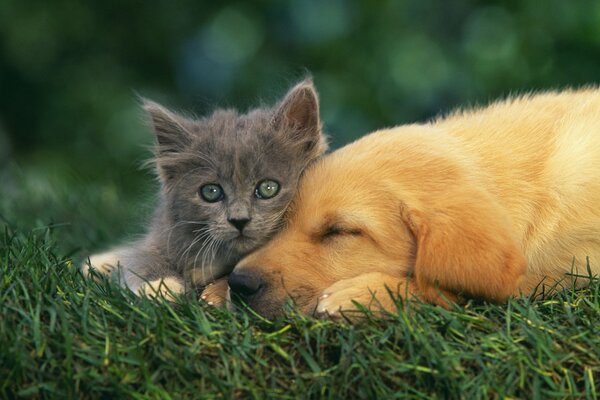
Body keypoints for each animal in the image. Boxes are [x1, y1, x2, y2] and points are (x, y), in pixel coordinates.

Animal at [82, 80, 326, 300]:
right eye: (211, 192)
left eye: (268, 188)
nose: (239, 220)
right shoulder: (163, 236)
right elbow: (142, 258)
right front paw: (160, 285)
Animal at [224, 88, 600, 318]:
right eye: (284, 223)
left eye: (339, 232)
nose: (239, 283)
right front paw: (216, 289)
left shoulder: (572, 264)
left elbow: (460, 286)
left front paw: (366, 293)